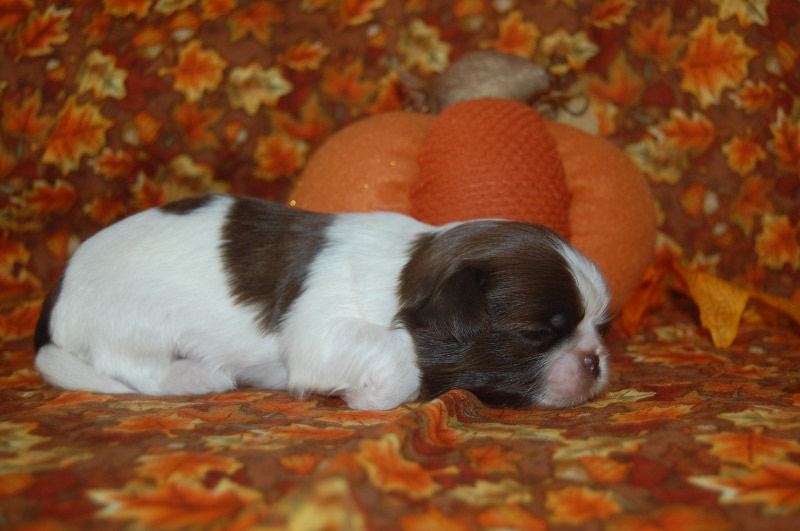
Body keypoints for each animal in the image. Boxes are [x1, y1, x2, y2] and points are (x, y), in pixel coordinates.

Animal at [34, 194, 612, 410]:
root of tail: (56, 294)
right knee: (130, 366)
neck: (405, 276)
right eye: (537, 333)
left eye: (602, 328)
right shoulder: (321, 332)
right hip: (133, 321)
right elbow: (398, 358)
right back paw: (194, 376)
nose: (594, 362)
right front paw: (370, 398)